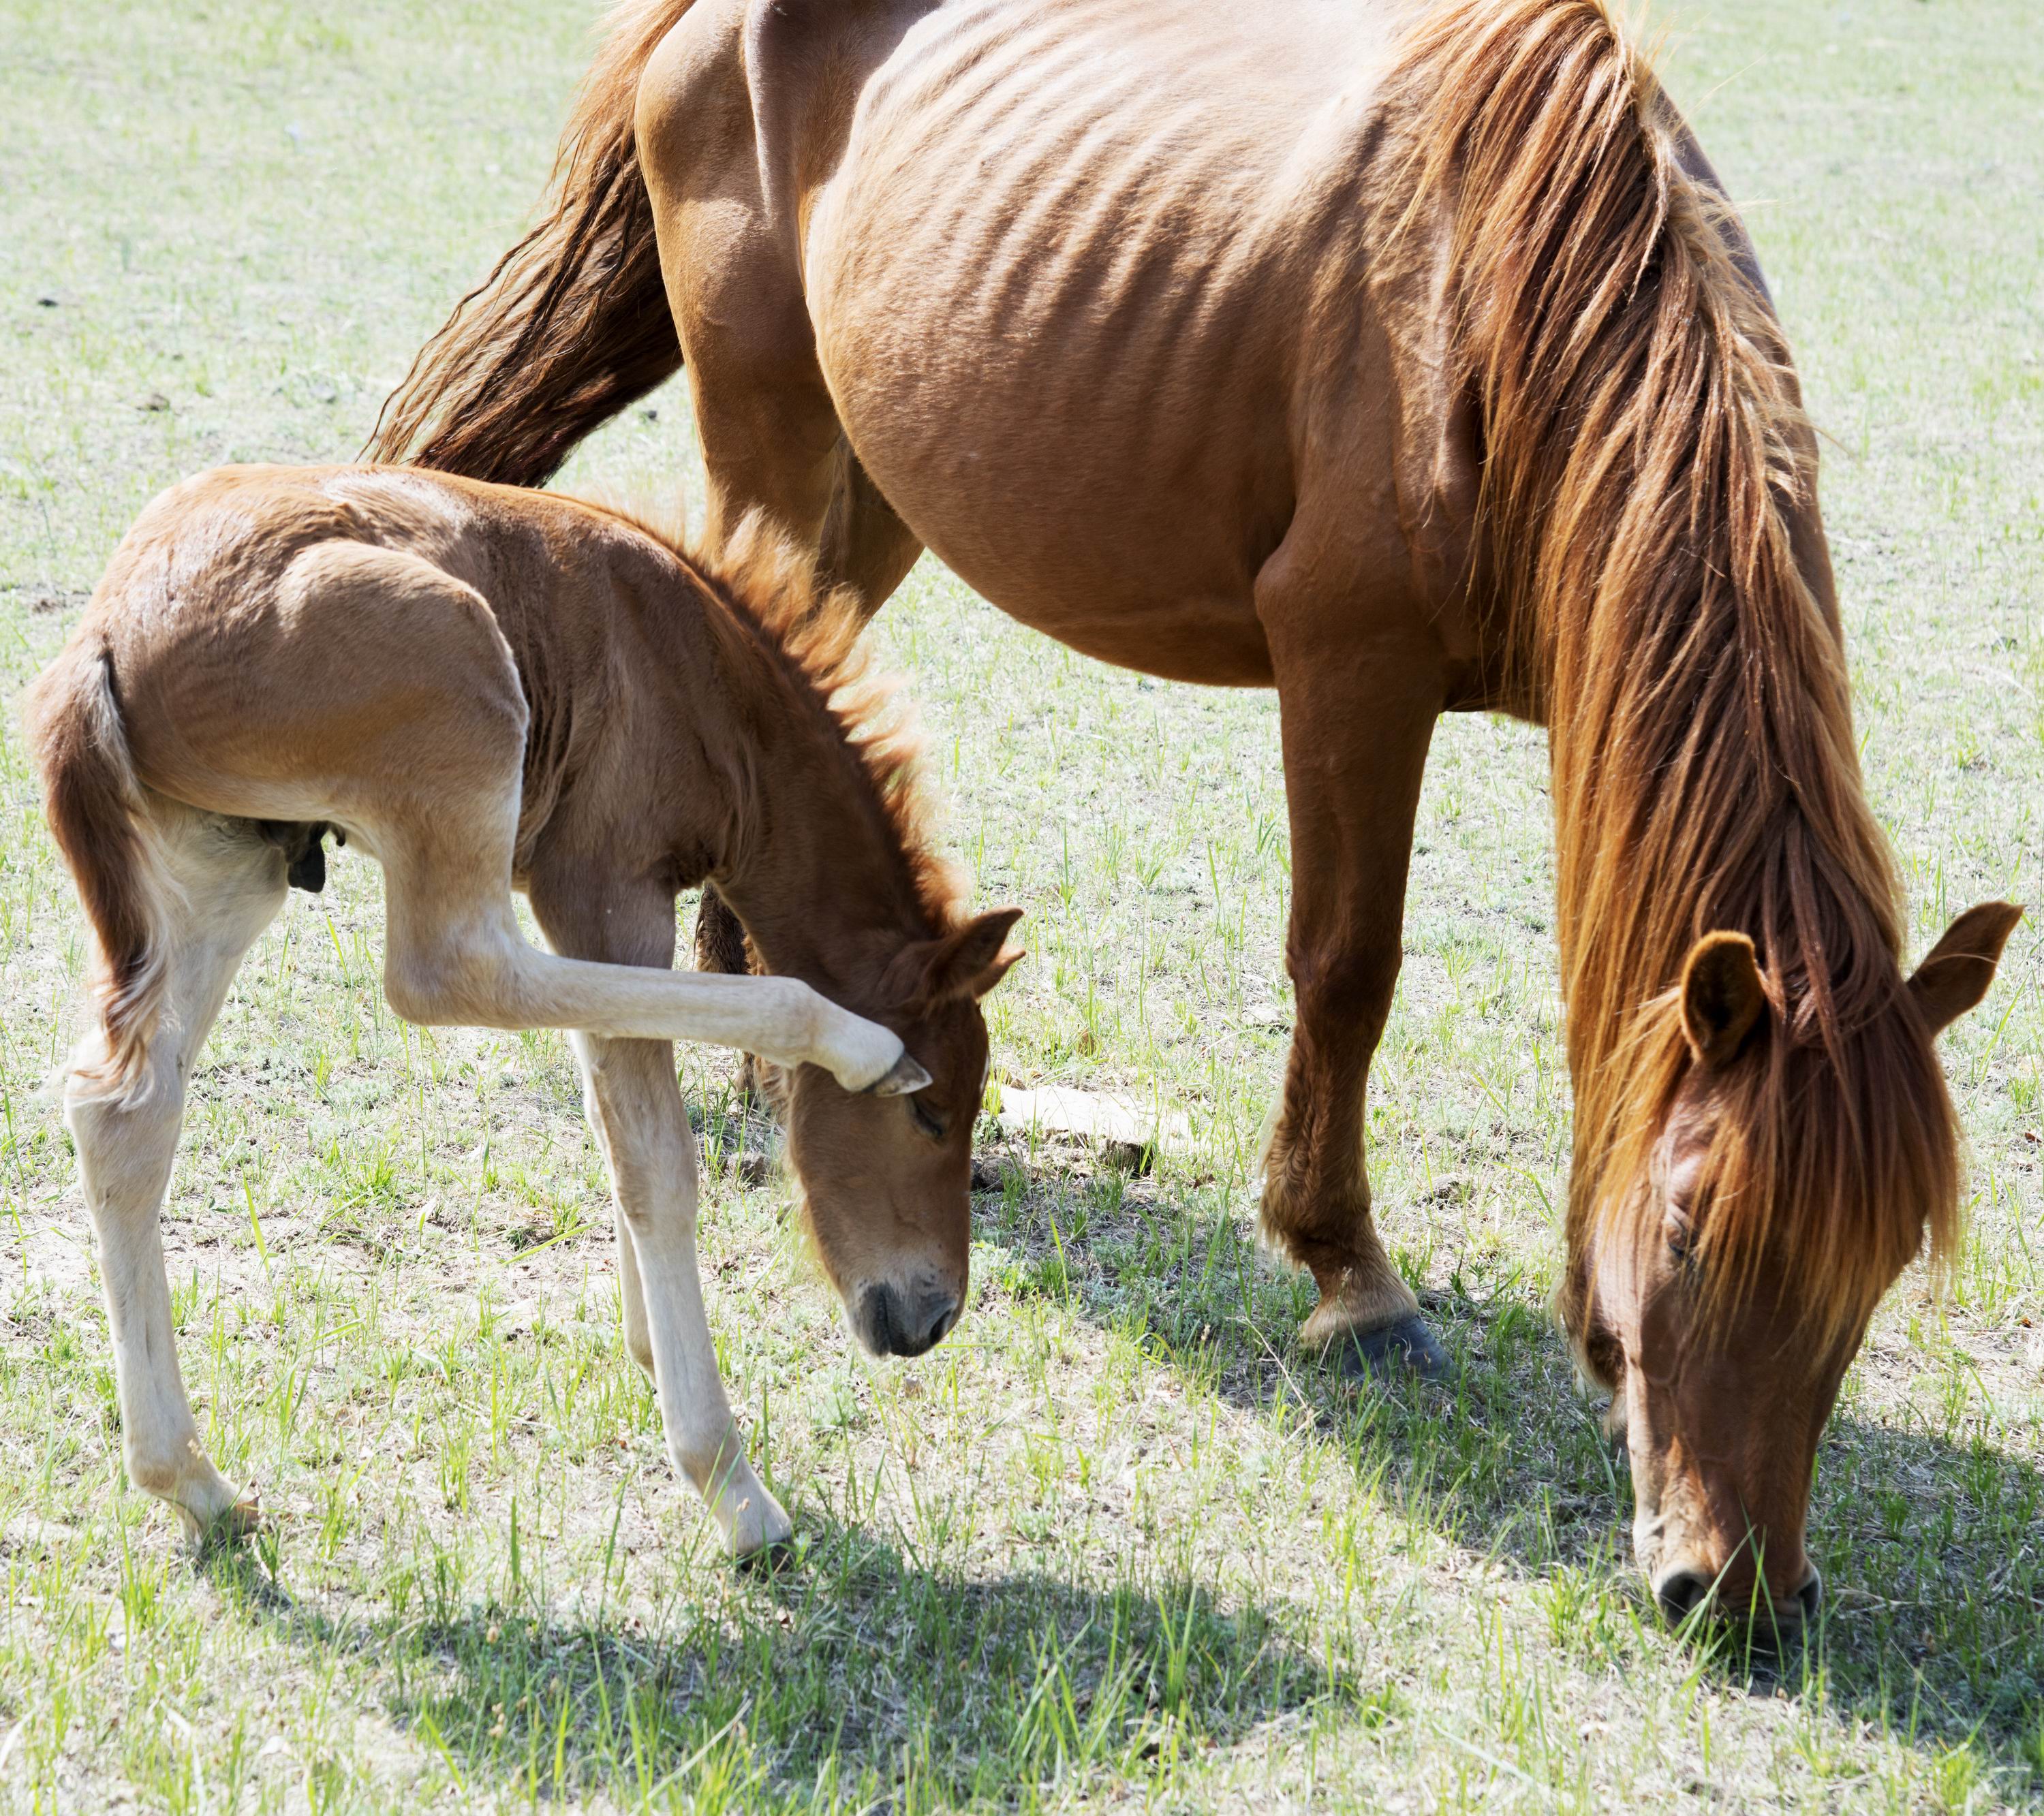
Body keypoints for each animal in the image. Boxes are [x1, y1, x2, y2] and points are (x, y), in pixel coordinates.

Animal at [28, 459, 1018, 1552]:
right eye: (933, 1114)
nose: (933, 1316)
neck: (703, 677)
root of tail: (104, 635)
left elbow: (614, 1110)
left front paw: (648, 1346)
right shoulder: (603, 889)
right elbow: (657, 1161)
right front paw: (727, 1480)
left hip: (228, 863)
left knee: (122, 1109)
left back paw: (191, 1481)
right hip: (454, 697)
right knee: (445, 972)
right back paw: (851, 1042)